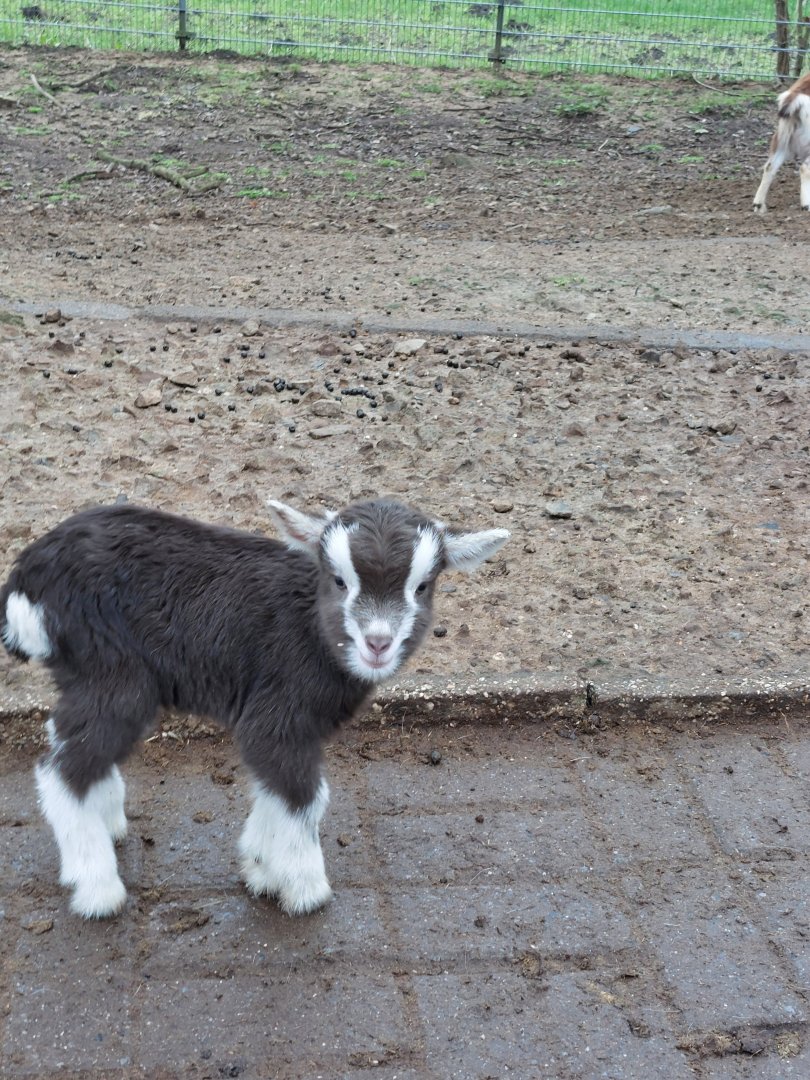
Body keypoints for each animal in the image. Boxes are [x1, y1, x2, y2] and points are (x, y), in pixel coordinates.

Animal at [0, 498, 509, 919]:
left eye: (421, 586)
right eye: (339, 581)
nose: (378, 643)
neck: (311, 629)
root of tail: (28, 574)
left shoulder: (287, 725)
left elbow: (276, 787)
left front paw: (260, 867)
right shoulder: (277, 716)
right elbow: (305, 794)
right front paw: (304, 889)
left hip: (84, 673)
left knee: (69, 742)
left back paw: (108, 821)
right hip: (112, 669)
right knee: (62, 768)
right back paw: (97, 889)